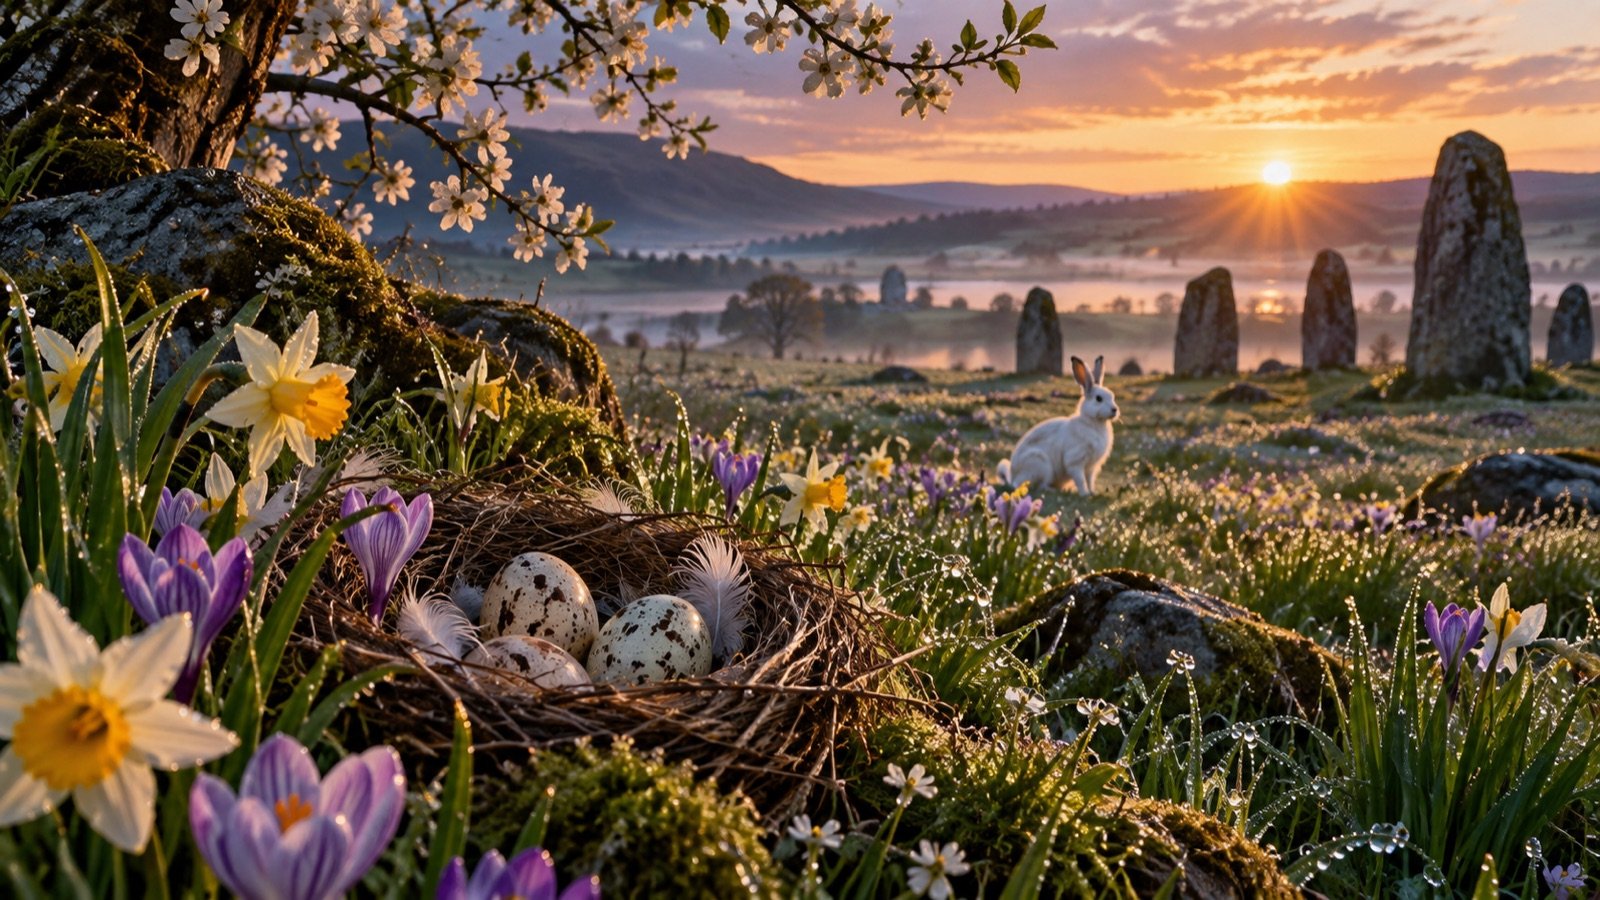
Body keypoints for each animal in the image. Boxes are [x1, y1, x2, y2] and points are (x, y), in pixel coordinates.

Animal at [996, 355, 1119, 495]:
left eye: (1112, 396)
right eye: (1098, 399)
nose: (1115, 410)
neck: (1093, 422)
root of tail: (1013, 476)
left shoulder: (1091, 467)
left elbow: (1089, 480)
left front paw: (1092, 492)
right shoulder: (1075, 462)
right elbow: (1081, 480)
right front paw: (1085, 494)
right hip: (1040, 465)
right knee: (1036, 486)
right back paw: (1051, 490)